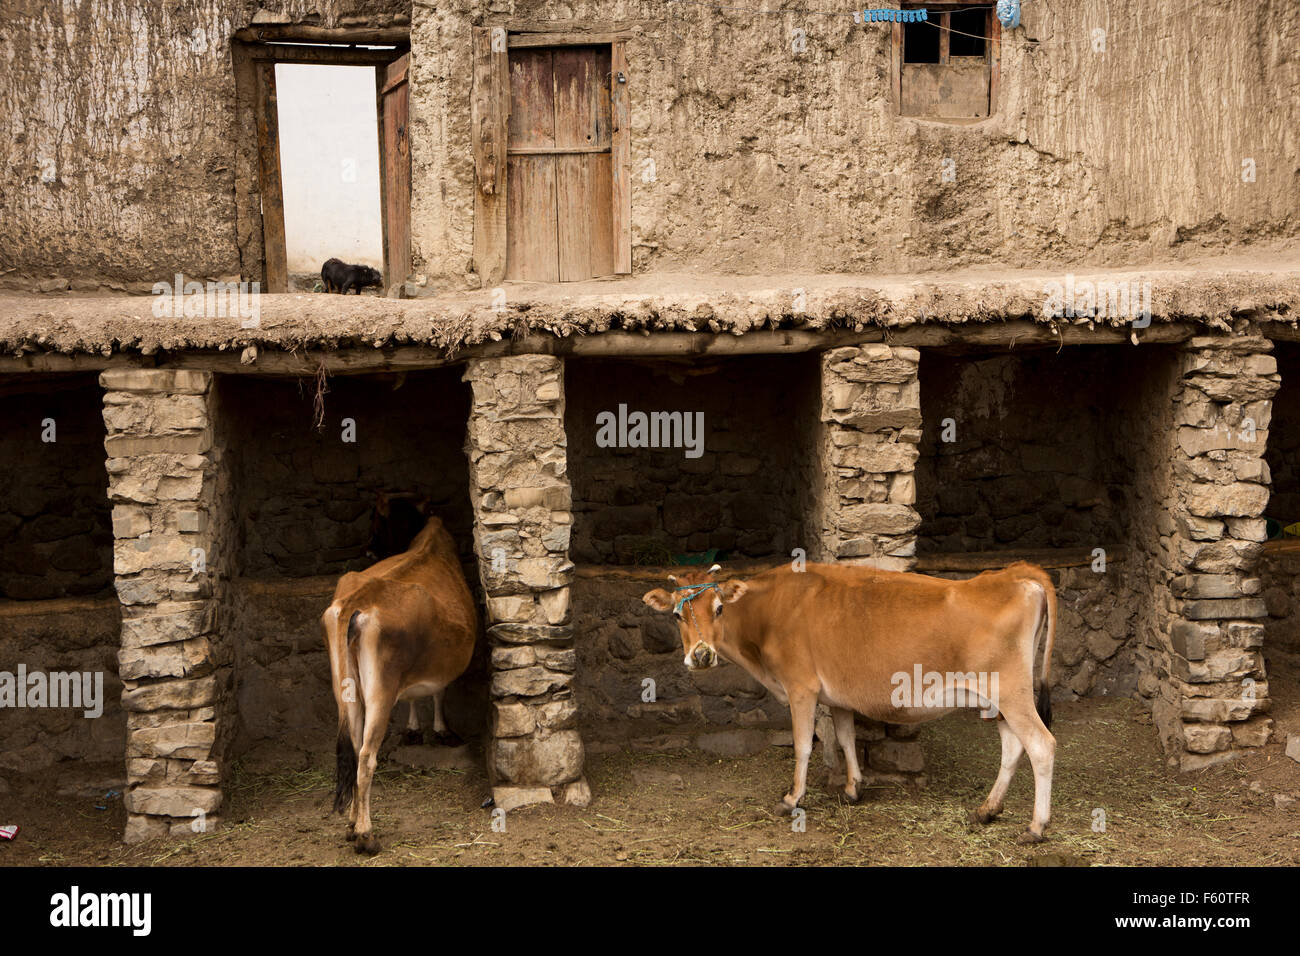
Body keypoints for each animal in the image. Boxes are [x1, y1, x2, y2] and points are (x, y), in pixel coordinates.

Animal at [321, 512, 478, 858]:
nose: (368, 549)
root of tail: (358, 598)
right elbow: (439, 691)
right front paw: (441, 730)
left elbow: (415, 697)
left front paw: (414, 729)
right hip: (381, 690)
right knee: (366, 757)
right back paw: (366, 836)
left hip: (346, 691)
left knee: (353, 748)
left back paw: (351, 825)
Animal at [639, 561, 1055, 842]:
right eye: (676, 615)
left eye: (719, 609)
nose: (702, 655)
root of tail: (1016, 574)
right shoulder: (836, 693)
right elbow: (845, 737)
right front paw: (854, 788)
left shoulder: (801, 687)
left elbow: (804, 745)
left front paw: (792, 798)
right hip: (999, 698)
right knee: (1012, 746)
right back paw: (987, 810)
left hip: (1011, 690)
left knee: (1040, 744)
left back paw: (1035, 827)